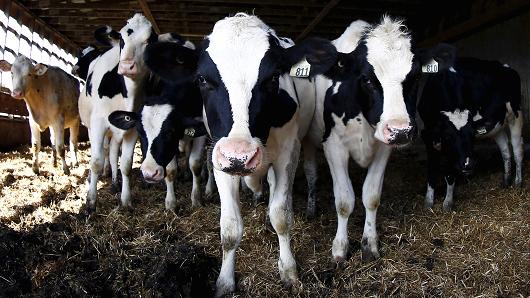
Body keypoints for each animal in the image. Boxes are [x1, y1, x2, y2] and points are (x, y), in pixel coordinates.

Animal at [108, 39, 213, 211]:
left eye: (170, 132)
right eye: (140, 132)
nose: (150, 173)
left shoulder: (200, 129)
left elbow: (196, 164)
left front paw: (196, 199)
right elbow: (170, 170)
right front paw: (170, 202)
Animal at [146, 12, 338, 296]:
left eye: (273, 78)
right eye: (202, 79)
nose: (240, 155)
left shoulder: (287, 155)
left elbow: (281, 216)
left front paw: (289, 271)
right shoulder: (221, 160)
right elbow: (229, 229)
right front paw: (225, 282)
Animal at [302, 16, 420, 264]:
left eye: (415, 77)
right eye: (366, 79)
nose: (401, 130)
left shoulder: (385, 147)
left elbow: (371, 196)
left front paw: (370, 244)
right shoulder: (334, 147)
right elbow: (344, 200)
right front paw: (340, 248)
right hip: (308, 138)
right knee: (311, 173)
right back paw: (311, 208)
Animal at [414, 43, 520, 212]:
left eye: (472, 135)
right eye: (448, 136)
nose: (468, 164)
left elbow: (450, 171)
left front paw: (447, 203)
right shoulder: (429, 134)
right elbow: (432, 168)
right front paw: (428, 201)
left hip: (516, 114)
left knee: (517, 150)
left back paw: (518, 182)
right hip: (497, 125)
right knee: (505, 151)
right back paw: (506, 180)